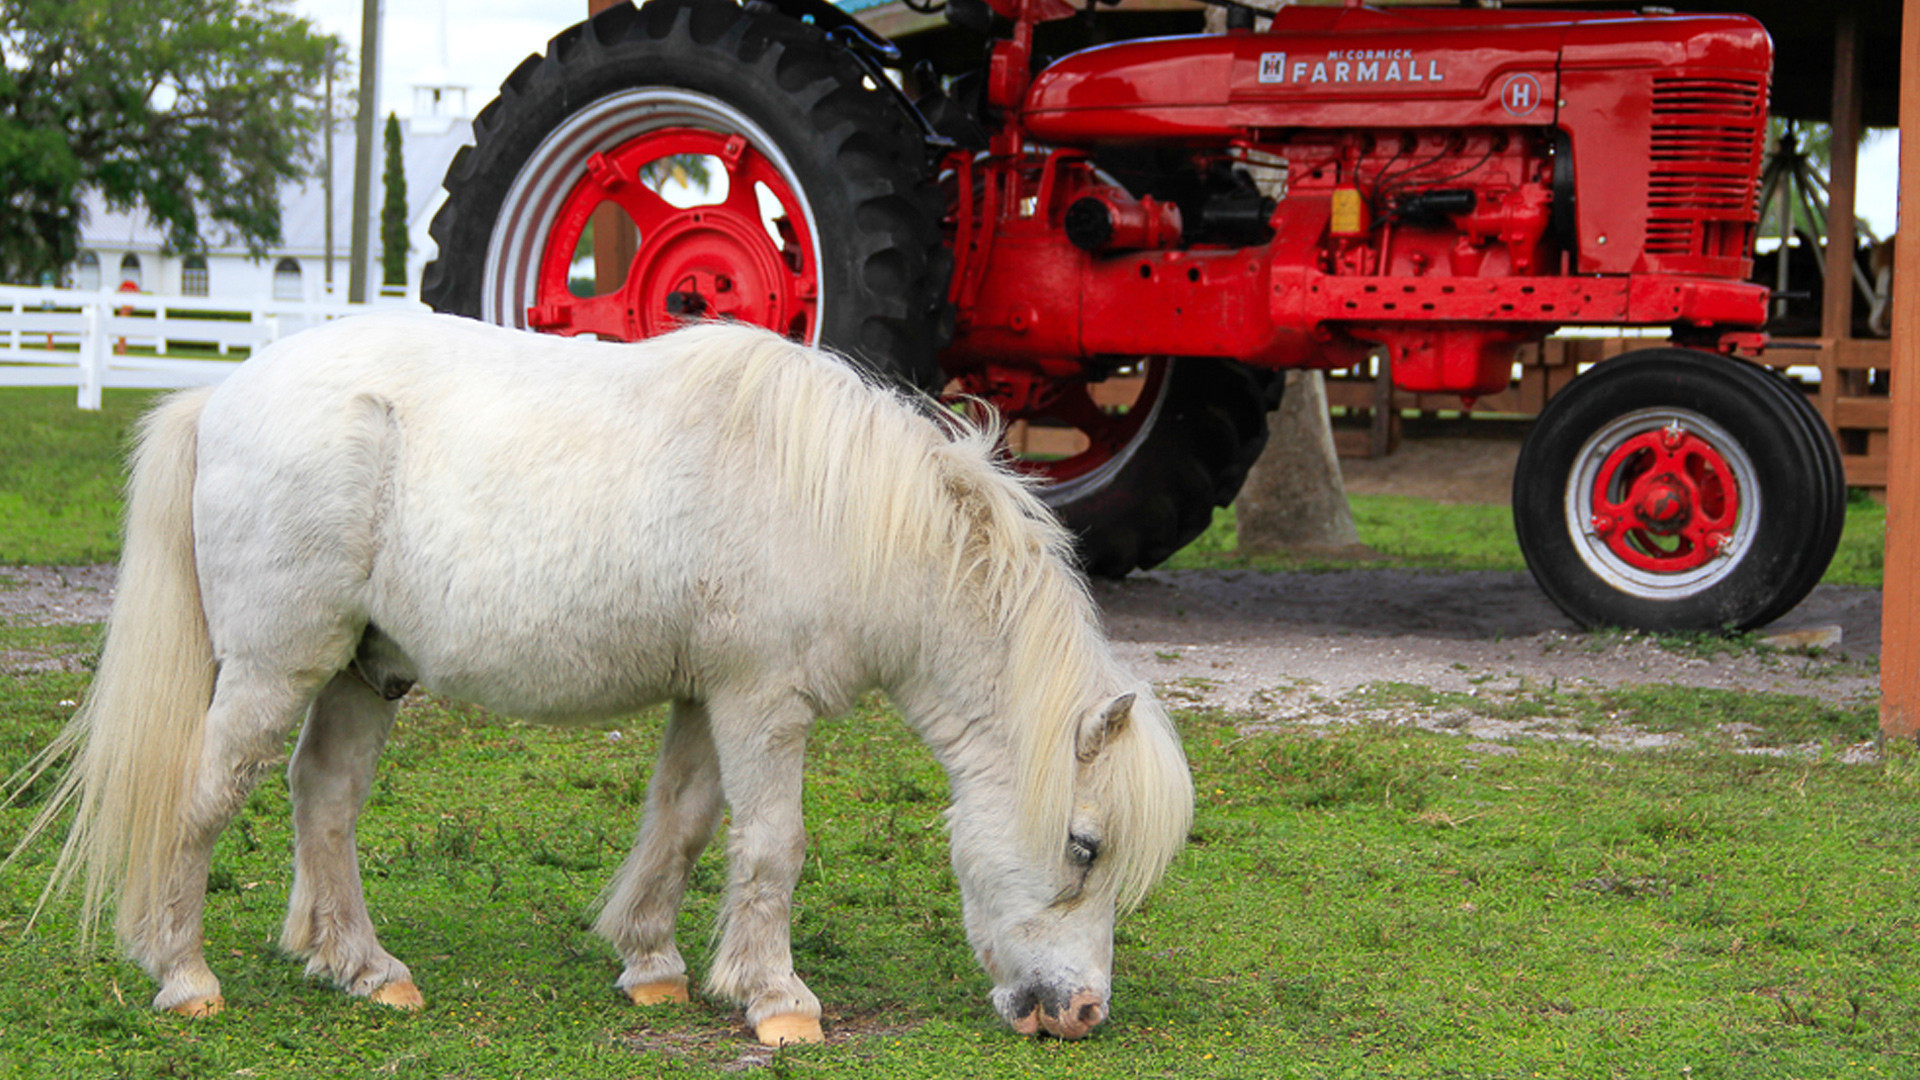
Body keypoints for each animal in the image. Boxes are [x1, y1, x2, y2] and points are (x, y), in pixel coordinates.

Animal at [11, 311, 1182, 1045]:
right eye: (1084, 847)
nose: (1081, 1015)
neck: (840, 510)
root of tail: (217, 397)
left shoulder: (710, 698)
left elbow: (685, 822)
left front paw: (651, 963)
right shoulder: (763, 702)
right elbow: (771, 844)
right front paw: (778, 1000)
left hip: (361, 673)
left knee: (325, 801)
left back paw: (365, 969)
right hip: (271, 669)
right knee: (203, 797)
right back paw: (183, 976)